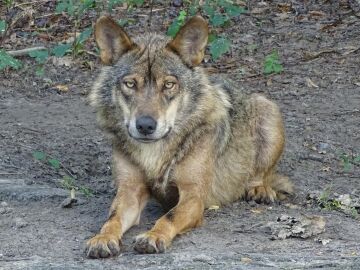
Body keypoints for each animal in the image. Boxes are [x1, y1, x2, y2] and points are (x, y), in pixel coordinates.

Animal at [86, 15, 292, 258]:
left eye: (168, 84)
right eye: (130, 84)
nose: (145, 125)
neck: (154, 153)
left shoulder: (193, 196)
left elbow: (168, 217)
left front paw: (153, 236)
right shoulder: (129, 191)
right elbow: (112, 218)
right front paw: (102, 238)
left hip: (269, 112)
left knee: (261, 175)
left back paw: (259, 189)